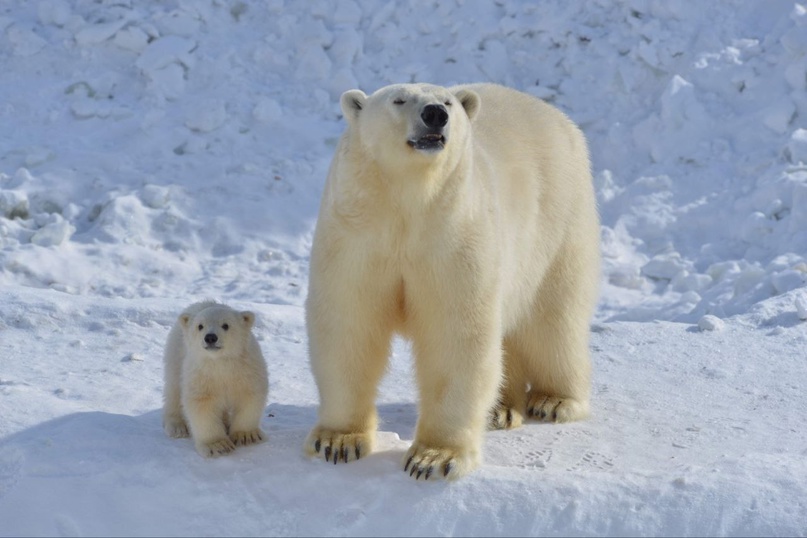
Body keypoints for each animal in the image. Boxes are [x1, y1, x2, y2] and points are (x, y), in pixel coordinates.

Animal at [163, 300, 270, 454]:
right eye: (200, 326)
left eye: (225, 325)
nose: (210, 337)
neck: (220, 363)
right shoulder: (201, 374)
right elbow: (202, 404)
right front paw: (218, 445)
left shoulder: (247, 369)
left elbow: (249, 397)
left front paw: (246, 436)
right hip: (176, 354)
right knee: (174, 390)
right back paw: (177, 426)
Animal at [304, 82, 600, 478]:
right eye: (399, 99)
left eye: (447, 102)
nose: (435, 114)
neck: (408, 202)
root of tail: (556, 116)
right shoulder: (358, 232)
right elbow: (349, 323)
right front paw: (337, 441)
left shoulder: (454, 234)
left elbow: (455, 334)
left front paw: (433, 458)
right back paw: (501, 409)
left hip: (559, 220)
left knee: (552, 319)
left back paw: (553, 400)